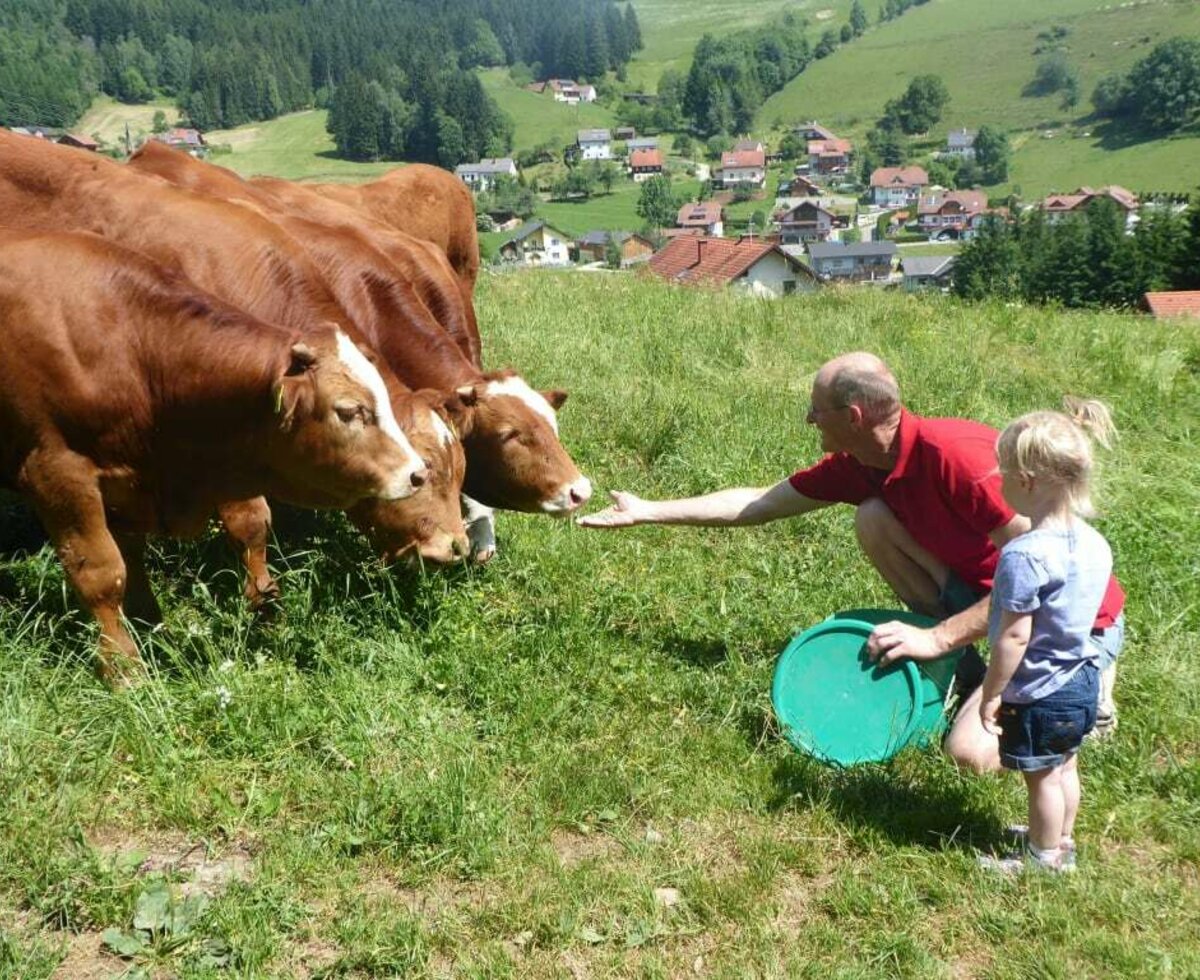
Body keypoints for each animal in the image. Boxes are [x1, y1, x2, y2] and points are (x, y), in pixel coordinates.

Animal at [0, 229, 422, 681]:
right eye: (349, 411)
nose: (418, 473)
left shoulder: (127, 483)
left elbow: (133, 562)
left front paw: (154, 630)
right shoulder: (58, 475)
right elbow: (103, 574)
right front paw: (125, 671)